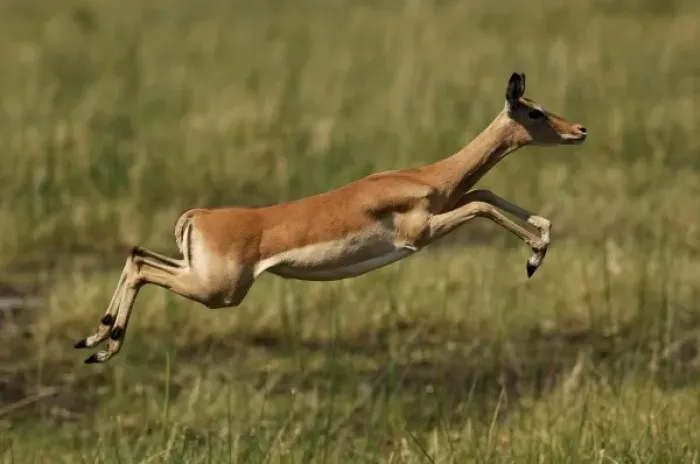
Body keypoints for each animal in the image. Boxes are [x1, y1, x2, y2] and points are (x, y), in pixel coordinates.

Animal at [75, 72, 587, 364]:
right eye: (535, 111)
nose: (580, 129)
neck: (426, 176)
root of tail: (199, 214)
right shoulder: (420, 234)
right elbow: (481, 203)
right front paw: (534, 257)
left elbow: (486, 192)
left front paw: (541, 243)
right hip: (218, 292)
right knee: (141, 266)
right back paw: (102, 344)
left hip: (197, 274)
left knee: (137, 257)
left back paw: (97, 340)